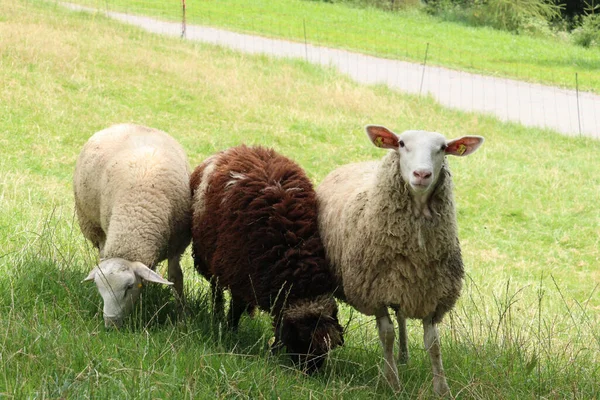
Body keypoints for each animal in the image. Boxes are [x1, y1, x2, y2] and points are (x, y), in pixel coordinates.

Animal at [73, 124, 190, 328]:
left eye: (129, 287)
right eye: (98, 287)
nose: (110, 324)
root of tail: (125, 124)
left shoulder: (177, 244)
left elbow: (176, 278)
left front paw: (182, 318)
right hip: (95, 227)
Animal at [316, 126, 486, 396]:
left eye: (442, 148)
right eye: (402, 144)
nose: (422, 174)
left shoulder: (431, 294)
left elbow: (433, 344)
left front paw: (442, 389)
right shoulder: (375, 292)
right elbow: (387, 336)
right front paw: (393, 383)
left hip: (403, 285)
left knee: (402, 317)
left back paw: (404, 356)